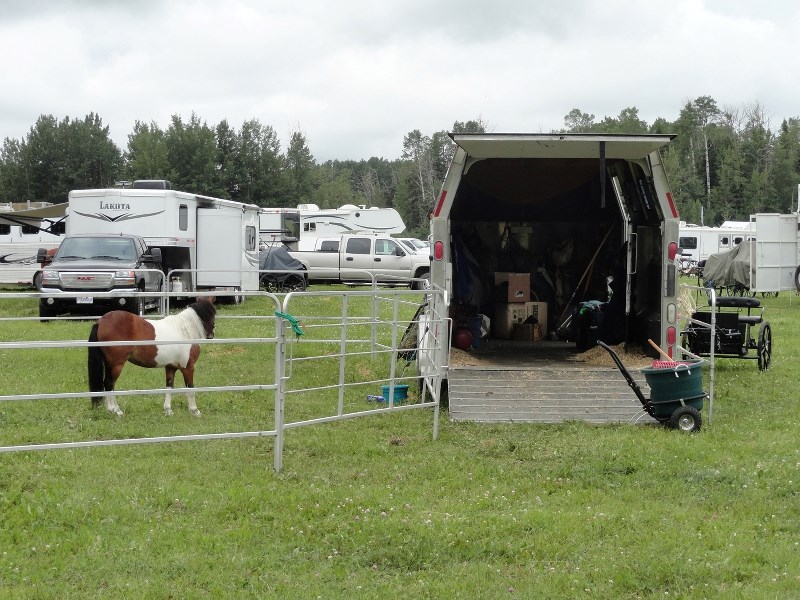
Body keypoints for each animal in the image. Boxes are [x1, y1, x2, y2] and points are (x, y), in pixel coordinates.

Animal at [88, 298, 216, 418]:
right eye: (212, 314)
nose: (211, 335)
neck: (184, 331)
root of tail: (101, 321)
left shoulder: (171, 368)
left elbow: (169, 387)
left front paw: (168, 410)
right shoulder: (188, 367)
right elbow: (190, 388)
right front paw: (195, 411)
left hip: (109, 364)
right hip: (116, 365)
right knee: (109, 384)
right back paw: (116, 411)